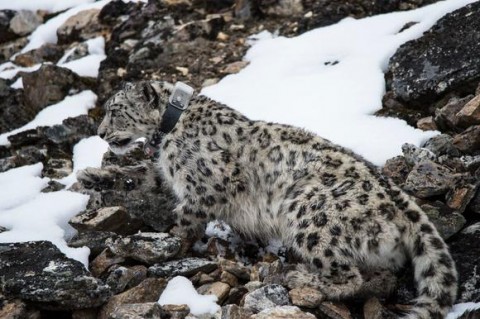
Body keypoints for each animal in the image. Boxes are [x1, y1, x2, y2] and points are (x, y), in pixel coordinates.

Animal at [95, 81, 456, 318]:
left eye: (114, 110)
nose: (99, 133)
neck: (169, 133)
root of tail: (397, 197)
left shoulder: (206, 186)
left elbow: (185, 218)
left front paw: (168, 244)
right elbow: (144, 179)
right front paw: (94, 178)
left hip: (310, 213)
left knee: (349, 276)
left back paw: (297, 276)